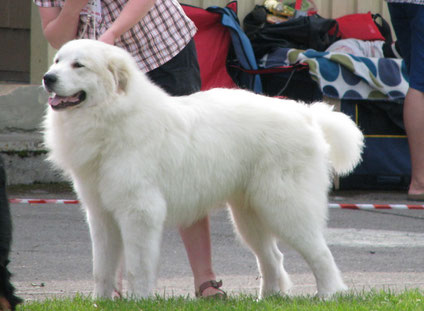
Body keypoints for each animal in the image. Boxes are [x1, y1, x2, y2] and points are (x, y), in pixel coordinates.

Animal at [41, 39, 362, 300]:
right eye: (57, 61)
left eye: (79, 65)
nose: (47, 78)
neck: (112, 115)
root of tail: (305, 113)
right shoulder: (101, 215)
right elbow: (102, 269)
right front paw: (102, 302)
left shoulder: (139, 212)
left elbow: (137, 267)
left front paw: (138, 300)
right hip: (249, 216)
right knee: (273, 257)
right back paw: (268, 298)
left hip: (285, 207)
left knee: (320, 254)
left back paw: (329, 295)